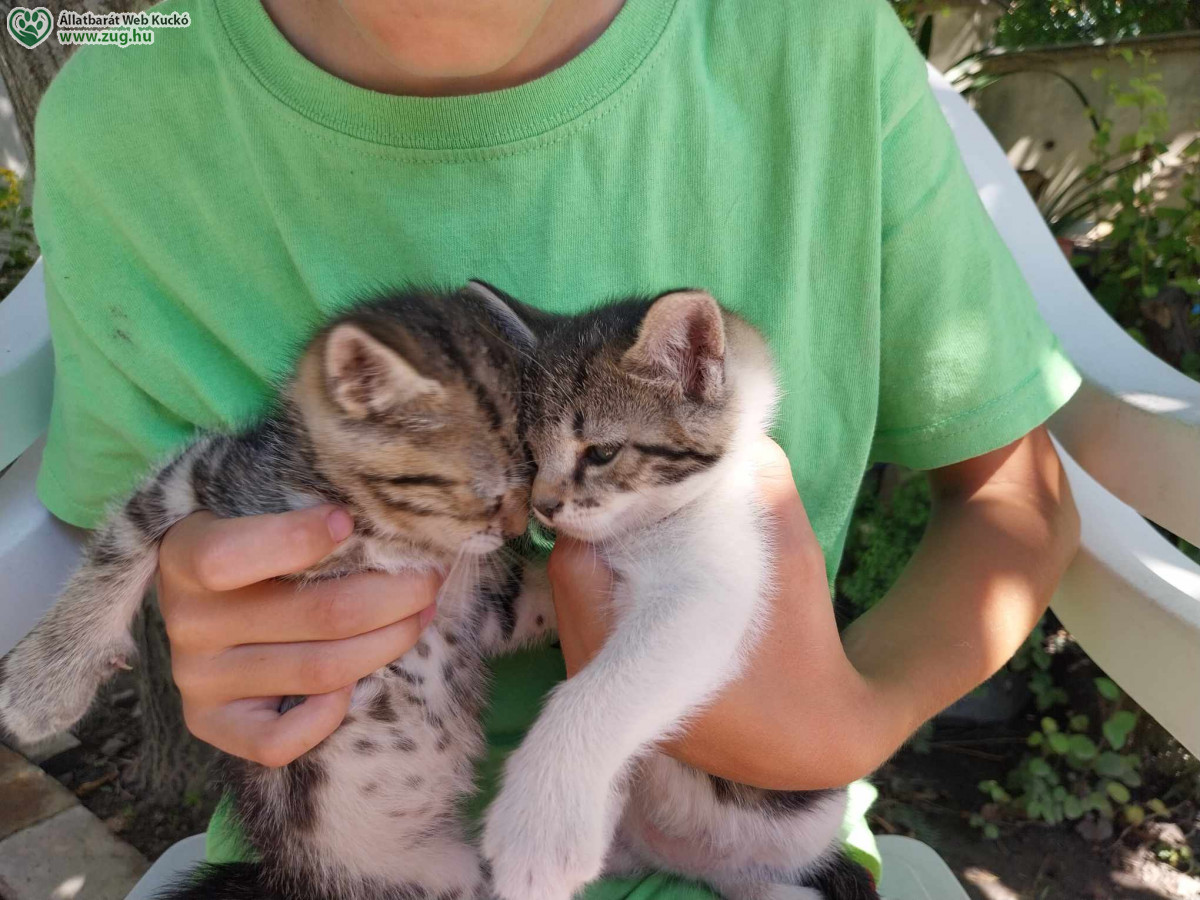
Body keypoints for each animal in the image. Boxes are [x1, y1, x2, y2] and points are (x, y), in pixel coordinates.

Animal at [0, 285, 552, 900]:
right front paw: (44, 683)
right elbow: (122, 538)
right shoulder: (206, 474)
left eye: (537, 476)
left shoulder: (478, 608)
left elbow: (532, 603)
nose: (518, 527)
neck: (385, 531)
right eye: (489, 496)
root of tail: (291, 876)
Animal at [480, 290, 883, 900]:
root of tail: (683, 863)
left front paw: (539, 824)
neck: (642, 530)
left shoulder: (715, 586)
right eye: (529, 449)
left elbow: (598, 691)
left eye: (600, 453)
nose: (543, 507)